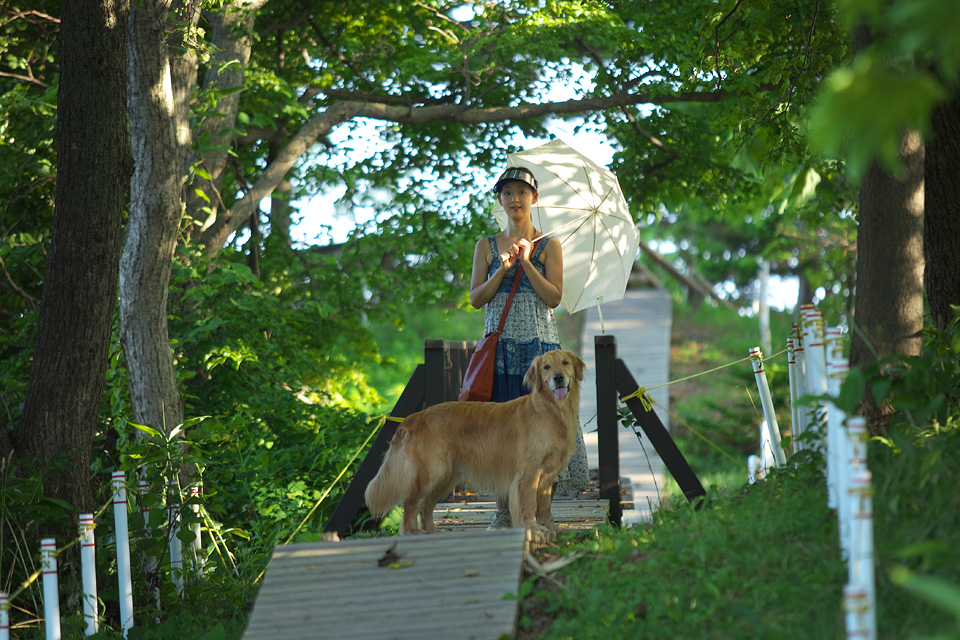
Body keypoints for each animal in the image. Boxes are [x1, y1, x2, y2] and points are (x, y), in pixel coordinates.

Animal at [364, 349, 585, 535]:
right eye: (546, 367)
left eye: (565, 362)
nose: (558, 377)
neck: (551, 410)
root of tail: (413, 418)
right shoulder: (528, 473)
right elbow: (530, 504)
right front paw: (533, 528)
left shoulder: (547, 475)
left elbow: (545, 506)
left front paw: (550, 528)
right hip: (430, 473)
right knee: (411, 503)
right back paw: (413, 533)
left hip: (445, 476)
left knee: (426, 505)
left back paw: (433, 531)